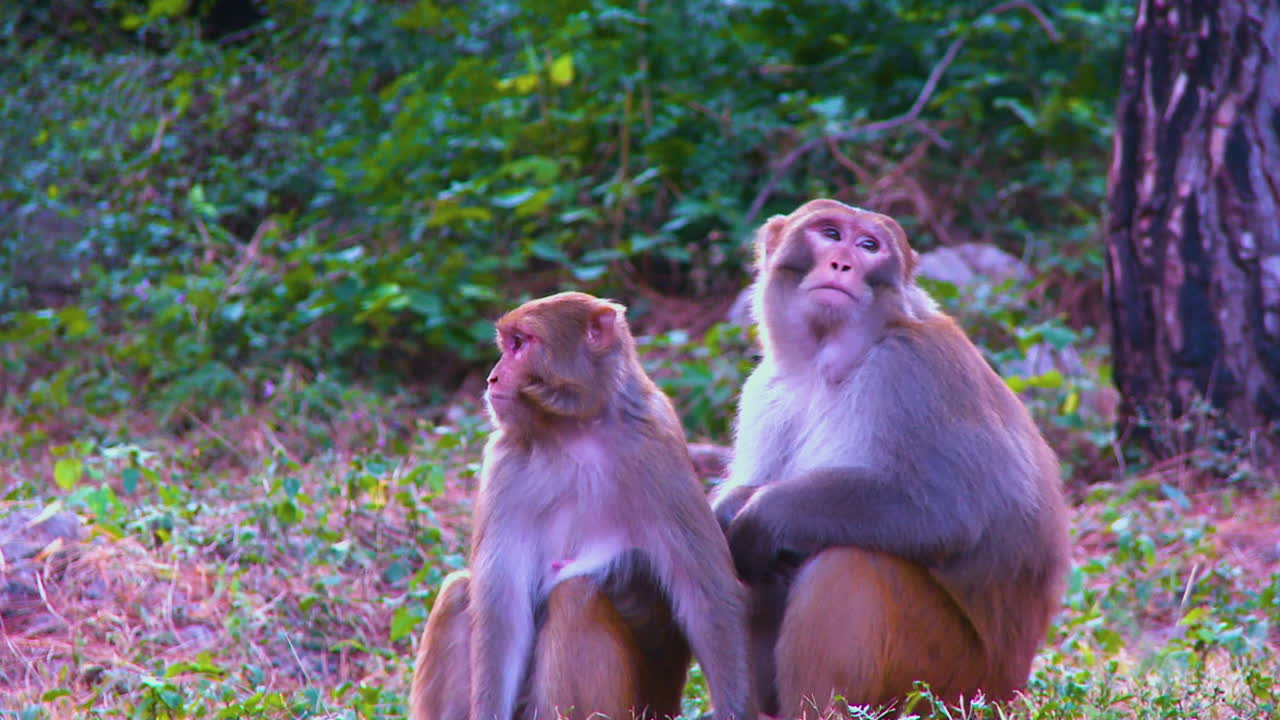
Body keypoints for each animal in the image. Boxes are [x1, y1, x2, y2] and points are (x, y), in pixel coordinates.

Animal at [409, 291, 756, 720]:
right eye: (507, 344)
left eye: (520, 344)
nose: (492, 378)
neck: (573, 431)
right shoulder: (504, 462)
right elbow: (502, 608)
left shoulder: (656, 445)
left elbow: (706, 595)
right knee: (461, 590)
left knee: (575, 596)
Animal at [712, 199, 1070, 717]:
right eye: (830, 233)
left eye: (868, 245)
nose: (842, 263)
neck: (825, 363)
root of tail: (1014, 686)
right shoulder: (764, 388)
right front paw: (727, 507)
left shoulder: (914, 371)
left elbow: (944, 512)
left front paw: (762, 516)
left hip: (953, 681)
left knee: (851, 562)